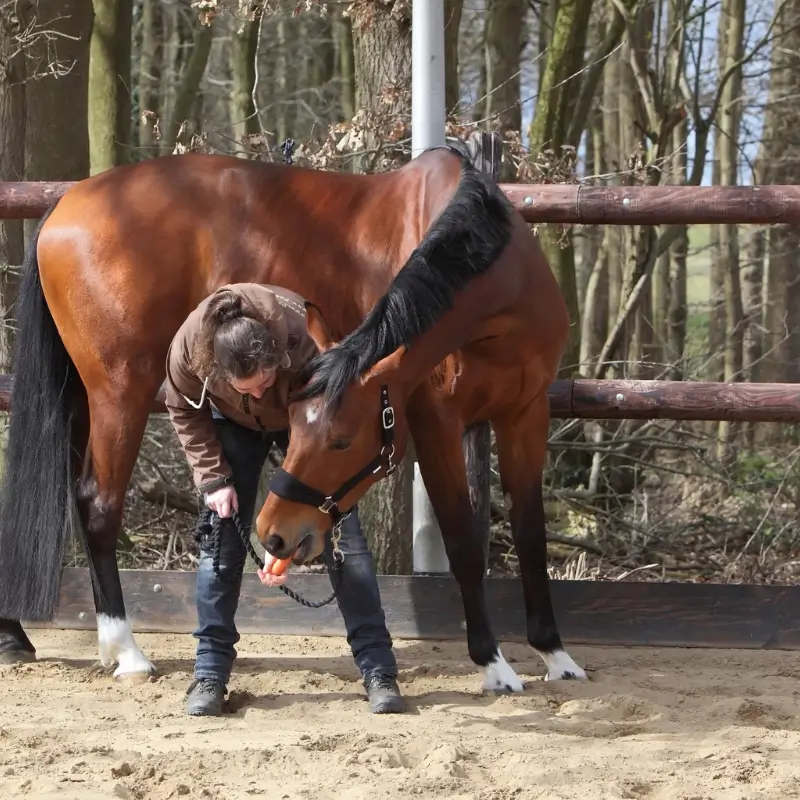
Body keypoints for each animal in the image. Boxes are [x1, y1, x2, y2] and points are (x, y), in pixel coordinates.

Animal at [0, 141, 584, 692]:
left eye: (341, 440)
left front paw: (555, 653)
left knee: (73, 497)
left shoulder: (526, 415)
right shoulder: (436, 421)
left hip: (81, 398)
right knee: (99, 504)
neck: (499, 306)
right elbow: (464, 541)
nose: (274, 535)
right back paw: (125, 651)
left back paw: (29, 637)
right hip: (119, 392)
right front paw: (493, 663)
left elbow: (531, 534)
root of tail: (63, 205)